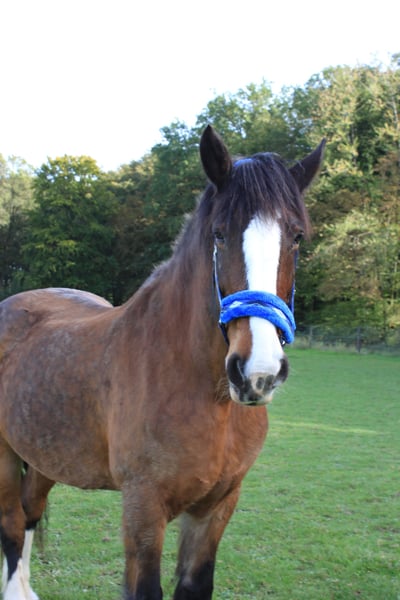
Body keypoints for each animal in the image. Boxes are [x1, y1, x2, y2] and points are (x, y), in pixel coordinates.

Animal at [0, 125, 324, 600]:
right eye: (219, 234)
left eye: (296, 237)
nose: (257, 373)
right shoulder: (143, 507)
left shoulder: (217, 506)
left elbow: (195, 584)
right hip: (5, 453)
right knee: (11, 524)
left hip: (43, 454)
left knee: (29, 513)